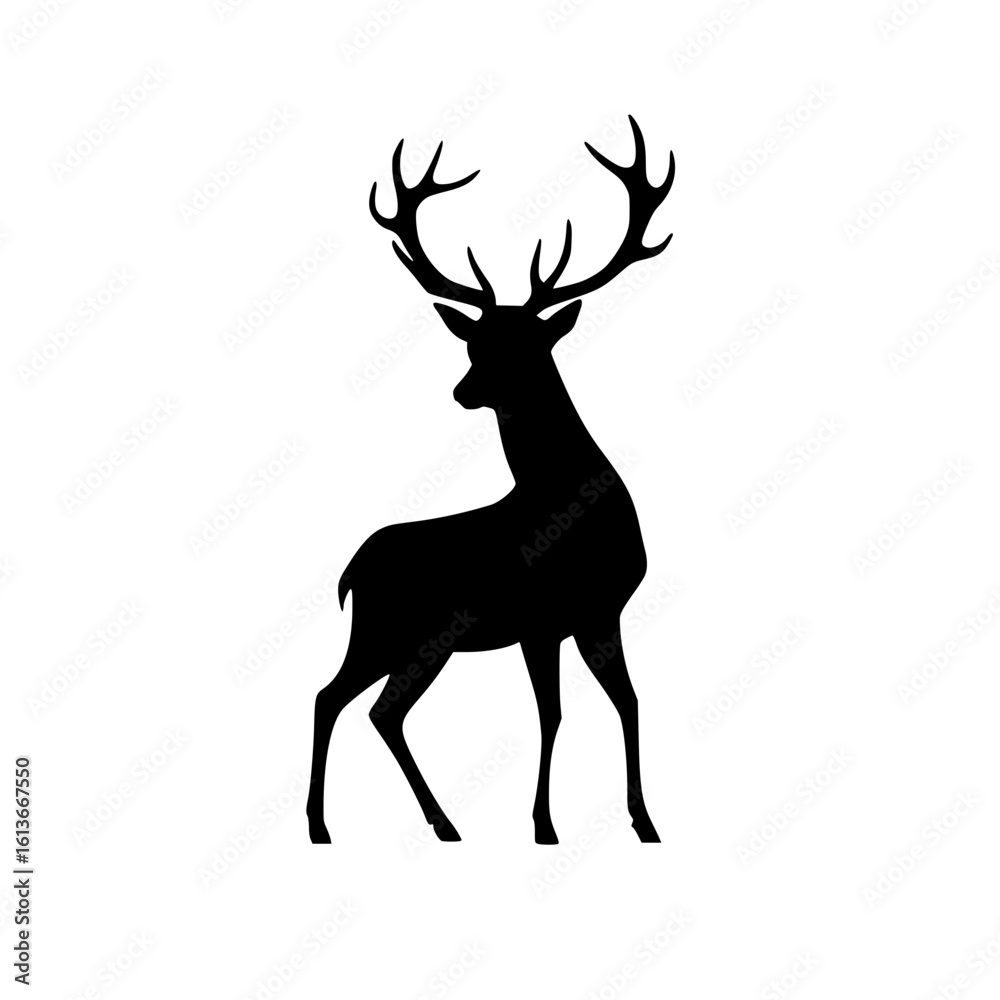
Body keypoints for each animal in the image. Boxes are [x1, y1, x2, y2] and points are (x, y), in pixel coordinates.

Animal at [307, 116, 675, 845]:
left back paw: (440, 824)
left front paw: (644, 821)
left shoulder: (600, 613)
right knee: (333, 696)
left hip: (422, 641)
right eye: (474, 344)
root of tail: (351, 572)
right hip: (387, 628)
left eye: (528, 344)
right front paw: (543, 825)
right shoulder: (539, 621)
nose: (464, 390)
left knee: (382, 710)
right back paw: (323, 824)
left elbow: (627, 701)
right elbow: (552, 715)